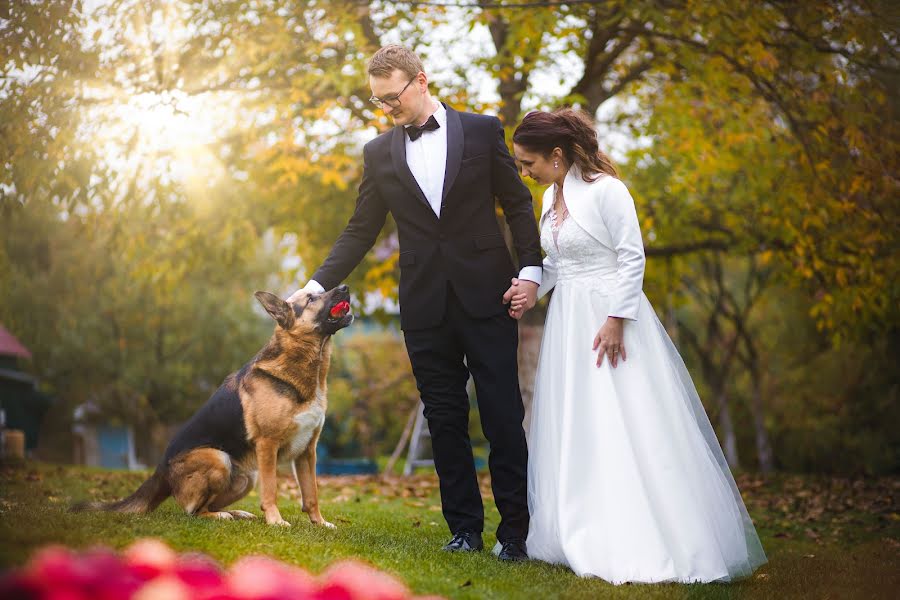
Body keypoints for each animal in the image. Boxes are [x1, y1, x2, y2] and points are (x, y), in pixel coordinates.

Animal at [72, 286, 354, 524]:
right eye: (311, 299)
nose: (345, 287)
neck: (307, 365)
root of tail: (161, 468)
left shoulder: (308, 452)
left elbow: (311, 494)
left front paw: (320, 523)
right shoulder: (267, 445)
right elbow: (271, 490)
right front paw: (275, 520)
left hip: (246, 477)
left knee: (208, 505)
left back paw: (235, 513)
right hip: (220, 460)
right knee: (193, 512)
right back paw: (221, 516)